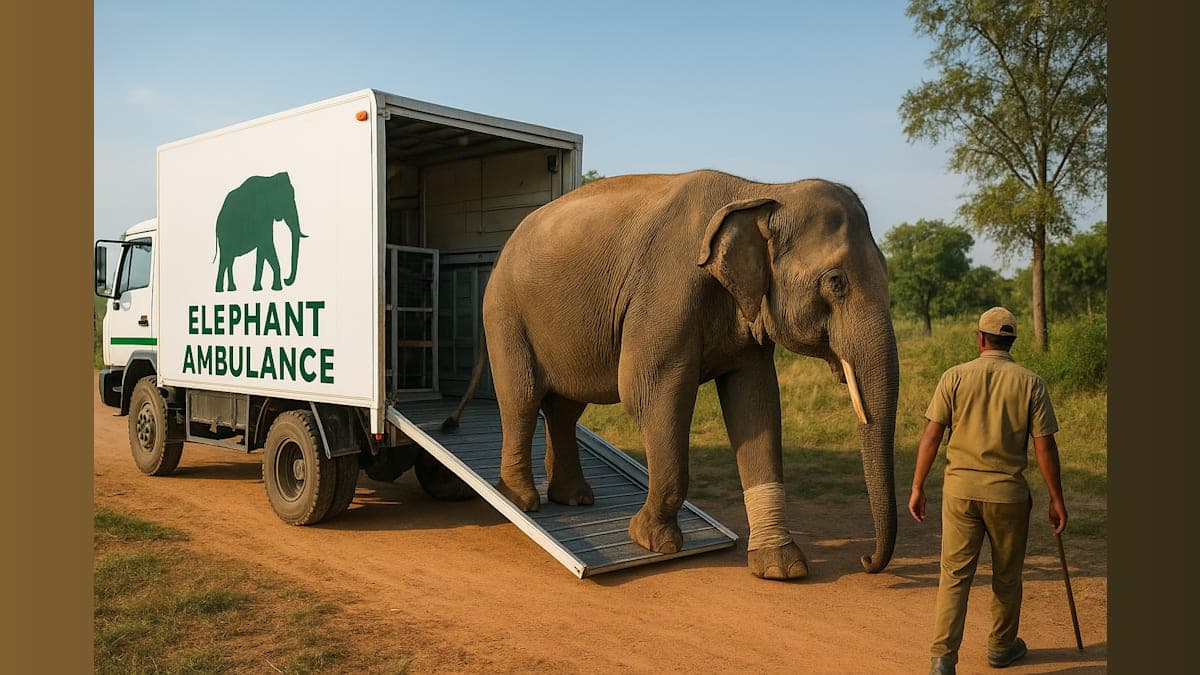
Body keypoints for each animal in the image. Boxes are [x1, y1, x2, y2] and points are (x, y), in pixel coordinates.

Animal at [447, 169, 900, 580]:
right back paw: (522, 501)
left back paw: (574, 500)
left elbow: (755, 403)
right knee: (521, 397)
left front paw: (780, 568)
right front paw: (652, 542)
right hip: (505, 313)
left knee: (564, 409)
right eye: (836, 282)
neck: (761, 191)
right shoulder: (665, 293)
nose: (866, 561)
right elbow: (649, 393)